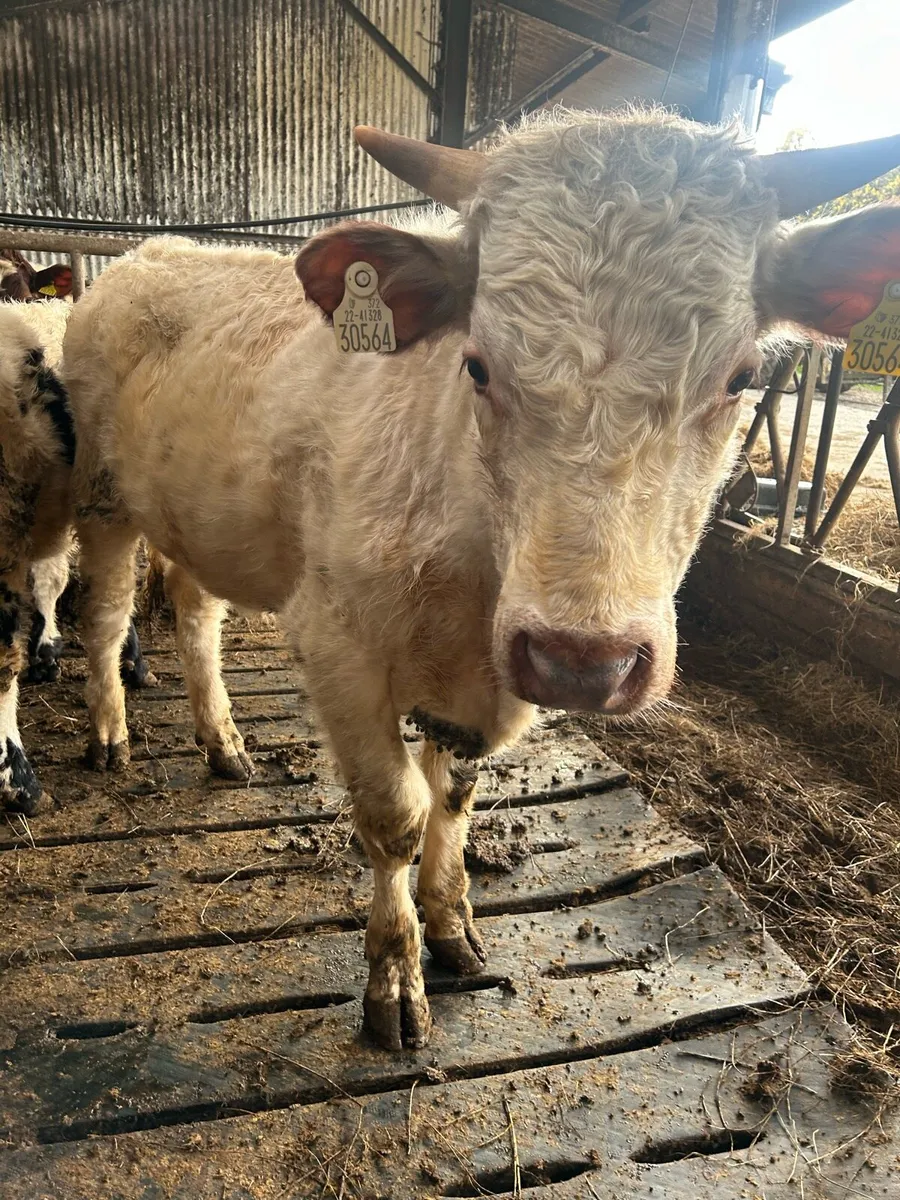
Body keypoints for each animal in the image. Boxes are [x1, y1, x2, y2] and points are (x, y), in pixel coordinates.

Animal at [60, 108, 900, 1050]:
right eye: (477, 366)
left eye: (742, 378)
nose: (584, 660)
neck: (472, 563)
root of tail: (150, 253)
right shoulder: (337, 643)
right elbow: (395, 814)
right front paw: (394, 977)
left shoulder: (485, 678)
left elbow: (454, 799)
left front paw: (451, 919)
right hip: (98, 494)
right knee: (105, 617)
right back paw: (110, 733)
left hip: (196, 516)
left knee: (197, 613)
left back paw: (224, 743)